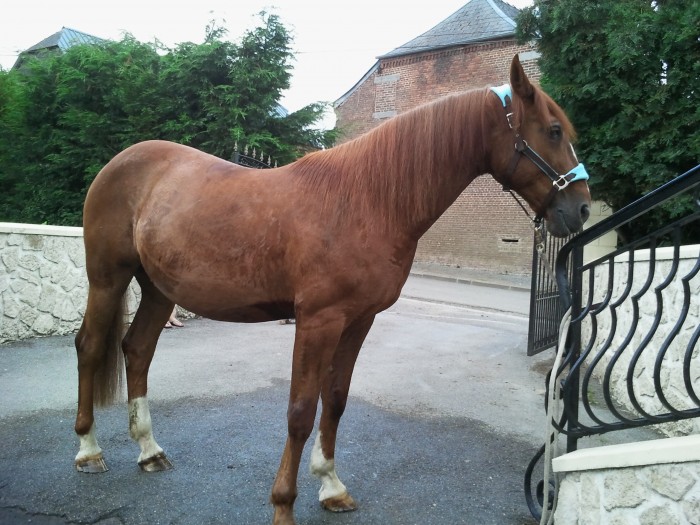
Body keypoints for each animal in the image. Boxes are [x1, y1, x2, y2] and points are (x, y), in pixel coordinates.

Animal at [73, 55, 591, 525]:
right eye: (552, 131)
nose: (582, 208)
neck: (368, 200)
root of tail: (122, 161)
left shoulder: (358, 320)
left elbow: (336, 400)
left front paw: (331, 485)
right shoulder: (317, 320)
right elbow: (301, 410)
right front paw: (284, 504)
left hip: (160, 288)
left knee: (137, 350)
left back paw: (149, 450)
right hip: (108, 277)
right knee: (91, 346)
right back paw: (88, 450)